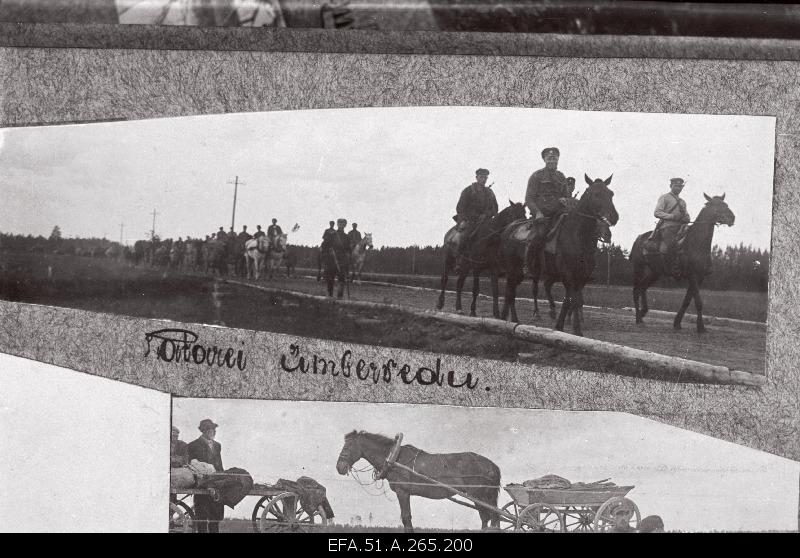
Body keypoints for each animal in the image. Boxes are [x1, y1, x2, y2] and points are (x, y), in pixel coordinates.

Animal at [336, 434, 500, 532]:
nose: (339, 467)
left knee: (488, 517)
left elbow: (406, 517)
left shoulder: (402, 492)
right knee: (490, 518)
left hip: (479, 495)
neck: (394, 458)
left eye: (347, 447)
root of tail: (492, 465)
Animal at [500, 174, 620, 336]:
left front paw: (560, 326)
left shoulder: (582, 276)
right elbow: (573, 300)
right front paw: (577, 331)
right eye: (596, 194)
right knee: (510, 292)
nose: (613, 217)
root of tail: (509, 228)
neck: (577, 236)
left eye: (611, 193)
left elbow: (569, 300)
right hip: (514, 270)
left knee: (512, 292)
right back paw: (511, 319)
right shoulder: (568, 274)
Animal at [628, 194, 736, 332]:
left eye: (725, 204)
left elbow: (687, 301)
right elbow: (698, 302)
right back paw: (638, 318)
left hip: (655, 272)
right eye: (715, 205)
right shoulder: (692, 275)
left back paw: (643, 313)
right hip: (639, 268)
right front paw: (700, 327)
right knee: (636, 290)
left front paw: (677, 323)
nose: (732, 218)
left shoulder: (700, 277)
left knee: (642, 287)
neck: (696, 243)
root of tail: (639, 238)